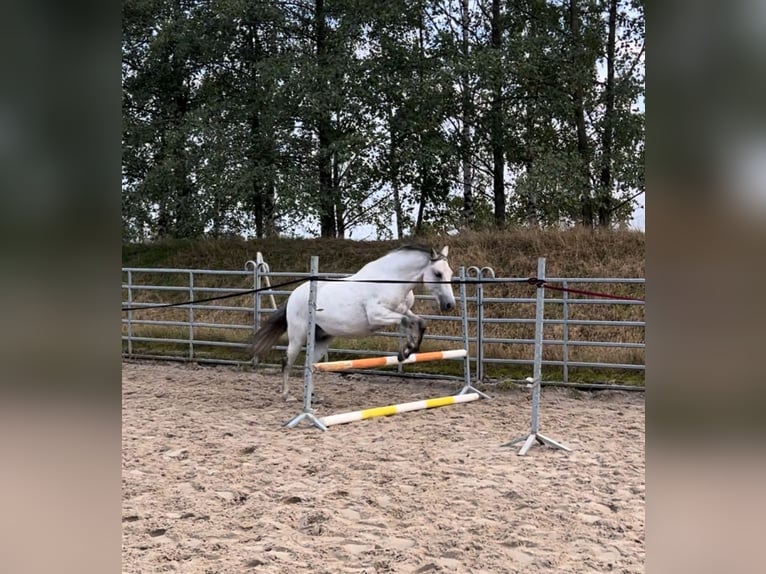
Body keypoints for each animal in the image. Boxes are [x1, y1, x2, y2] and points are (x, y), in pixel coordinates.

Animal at [252, 246, 456, 400]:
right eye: (438, 273)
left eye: (450, 272)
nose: (449, 305)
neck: (389, 281)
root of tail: (294, 295)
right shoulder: (377, 316)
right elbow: (408, 322)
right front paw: (405, 352)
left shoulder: (403, 311)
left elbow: (418, 322)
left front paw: (407, 351)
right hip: (298, 336)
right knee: (287, 361)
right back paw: (286, 395)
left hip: (323, 339)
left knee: (309, 365)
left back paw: (313, 397)